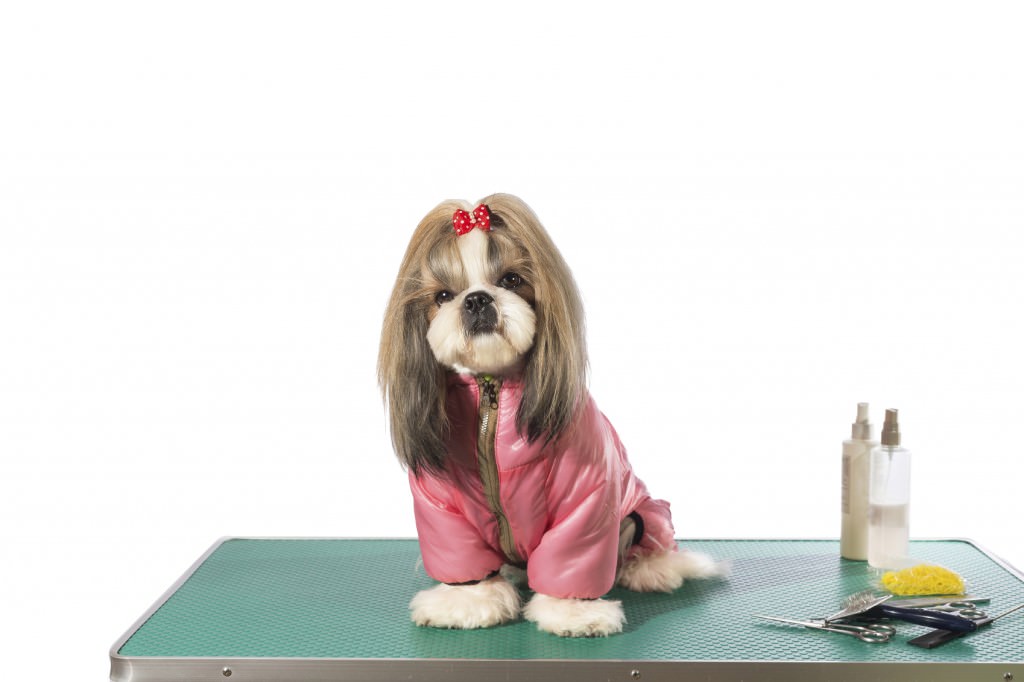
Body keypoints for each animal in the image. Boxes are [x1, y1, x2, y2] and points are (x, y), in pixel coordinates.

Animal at [376, 192, 720, 638]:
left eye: (511, 280)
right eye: (443, 296)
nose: (476, 299)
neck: (493, 395)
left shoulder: (588, 499)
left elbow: (571, 552)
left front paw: (572, 611)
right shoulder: (440, 508)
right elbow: (461, 554)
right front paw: (468, 600)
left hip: (643, 513)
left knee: (649, 539)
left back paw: (652, 569)